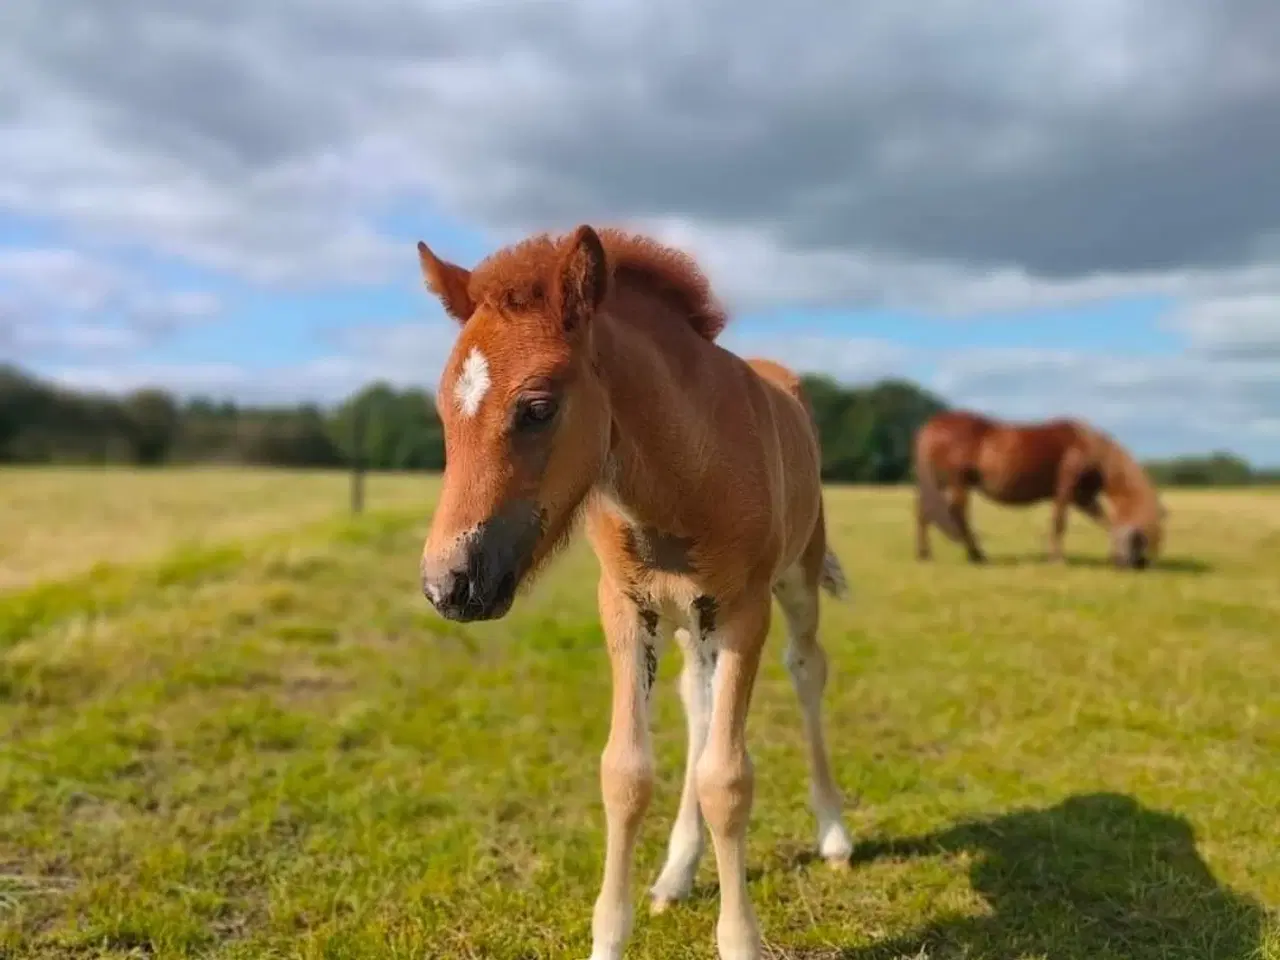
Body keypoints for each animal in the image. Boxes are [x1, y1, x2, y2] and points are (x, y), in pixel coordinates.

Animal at [419, 227, 855, 960]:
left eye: (538, 408)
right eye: (444, 412)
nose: (446, 584)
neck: (682, 477)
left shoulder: (745, 612)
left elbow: (727, 779)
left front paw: (740, 939)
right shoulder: (626, 610)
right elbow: (626, 773)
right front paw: (616, 930)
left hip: (795, 581)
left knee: (805, 672)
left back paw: (833, 833)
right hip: (690, 623)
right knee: (698, 704)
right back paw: (677, 870)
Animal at [916, 407, 1167, 570]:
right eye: (1143, 538)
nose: (1139, 565)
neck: (1092, 451)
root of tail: (934, 425)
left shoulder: (1083, 497)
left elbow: (1107, 522)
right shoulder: (1066, 490)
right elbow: (1059, 523)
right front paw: (1057, 561)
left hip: (942, 485)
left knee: (925, 513)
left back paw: (926, 554)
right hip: (958, 483)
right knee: (958, 515)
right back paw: (976, 556)